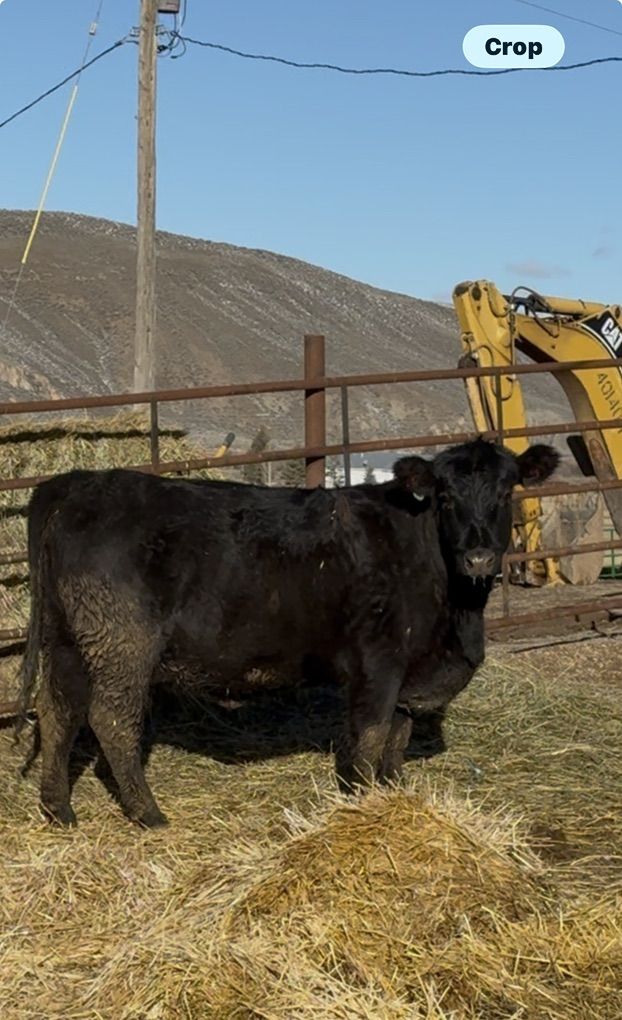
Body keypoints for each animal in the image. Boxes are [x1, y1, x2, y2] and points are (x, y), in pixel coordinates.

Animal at [15, 438, 558, 828]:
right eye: (445, 497)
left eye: (506, 492)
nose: (479, 557)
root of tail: (77, 484)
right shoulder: (378, 662)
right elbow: (371, 737)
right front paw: (363, 803)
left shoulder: (409, 669)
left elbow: (397, 738)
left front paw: (395, 792)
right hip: (123, 643)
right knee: (111, 719)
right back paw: (147, 813)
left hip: (69, 639)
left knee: (57, 711)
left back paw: (58, 809)